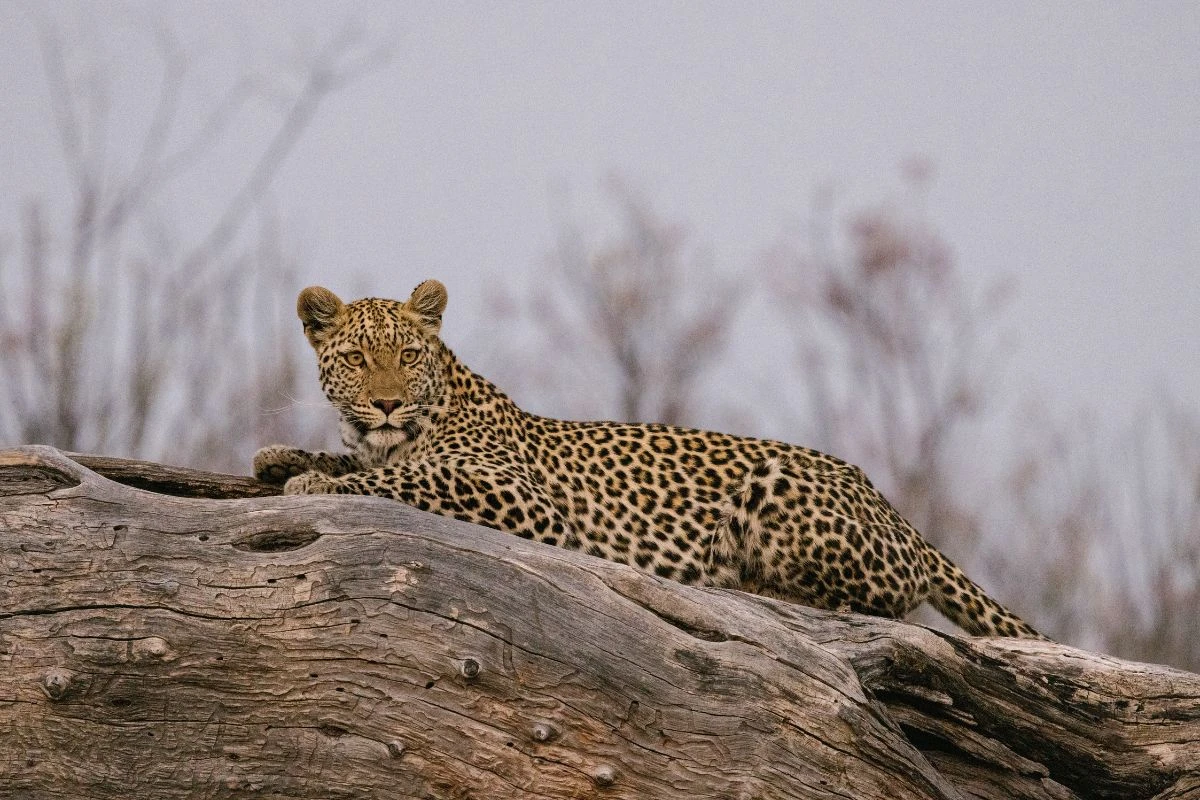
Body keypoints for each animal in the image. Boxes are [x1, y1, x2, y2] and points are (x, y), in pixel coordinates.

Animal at [254, 279, 1043, 638]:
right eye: (358, 359)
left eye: (408, 356)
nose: (387, 403)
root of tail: (896, 512)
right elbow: (358, 461)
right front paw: (280, 456)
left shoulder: (523, 499)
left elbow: (406, 476)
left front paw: (310, 480)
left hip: (779, 490)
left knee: (876, 606)